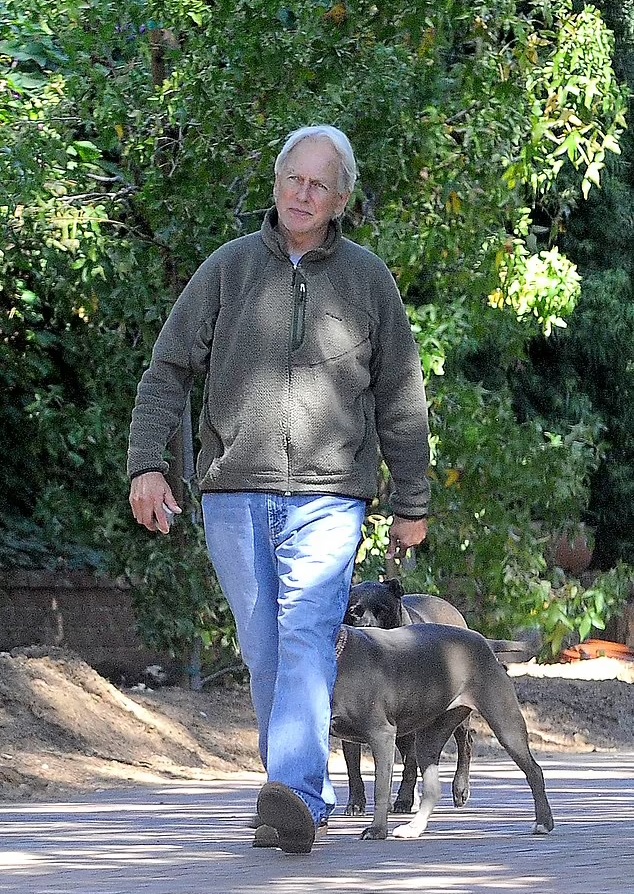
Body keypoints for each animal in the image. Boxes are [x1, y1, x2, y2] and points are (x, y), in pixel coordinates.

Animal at [331, 623, 554, 840]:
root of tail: (483, 641)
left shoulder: (381, 734)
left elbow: (381, 787)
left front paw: (377, 830)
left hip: (504, 722)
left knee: (534, 771)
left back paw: (543, 823)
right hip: (428, 738)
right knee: (432, 788)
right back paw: (414, 828)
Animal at [342, 579, 473, 815]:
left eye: (382, 611)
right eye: (354, 612)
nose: (367, 628)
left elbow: (409, 766)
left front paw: (404, 800)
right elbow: (353, 767)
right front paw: (355, 803)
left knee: (465, 743)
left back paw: (460, 790)